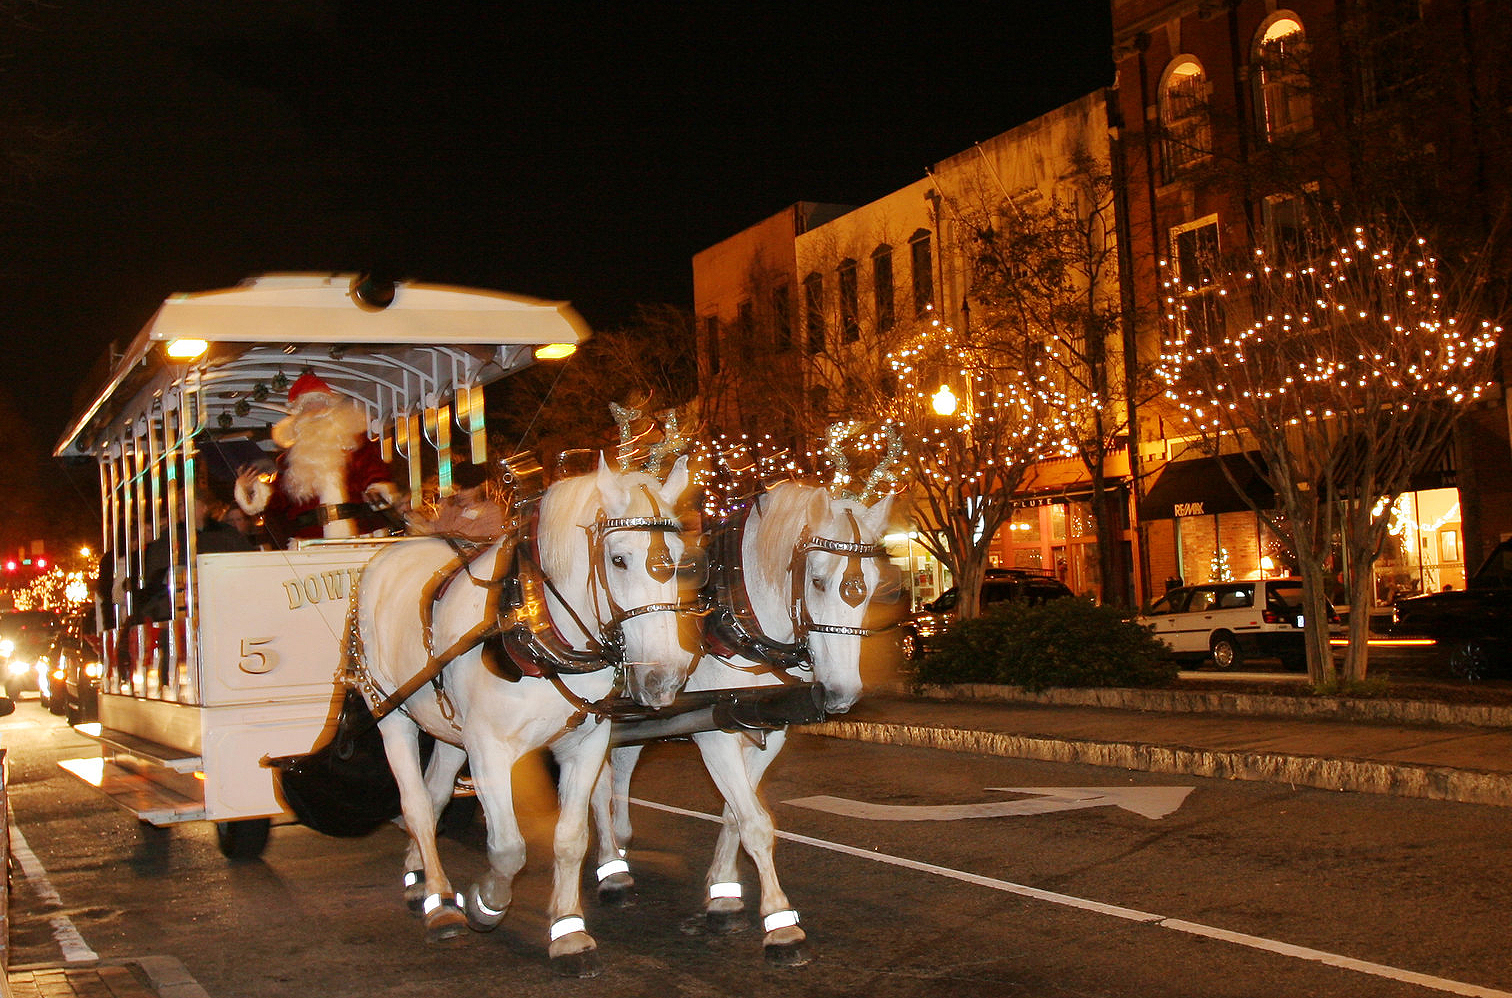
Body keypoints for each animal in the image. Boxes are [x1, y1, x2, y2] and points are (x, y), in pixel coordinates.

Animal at [356, 456, 698, 979]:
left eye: (679, 560)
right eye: (618, 559)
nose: (664, 678)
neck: (538, 626)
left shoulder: (585, 744)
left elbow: (570, 838)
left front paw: (569, 931)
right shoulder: (488, 749)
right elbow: (508, 847)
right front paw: (485, 903)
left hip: (448, 732)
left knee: (434, 797)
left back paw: (420, 877)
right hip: (392, 714)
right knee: (415, 804)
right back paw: (441, 903)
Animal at [589, 483, 895, 967]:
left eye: (872, 589)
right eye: (817, 581)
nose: (841, 695)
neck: (739, 619)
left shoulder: (769, 731)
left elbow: (735, 813)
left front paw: (723, 894)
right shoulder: (712, 731)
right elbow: (754, 822)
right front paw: (781, 924)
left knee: (619, 772)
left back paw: (619, 846)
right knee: (599, 786)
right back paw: (611, 871)